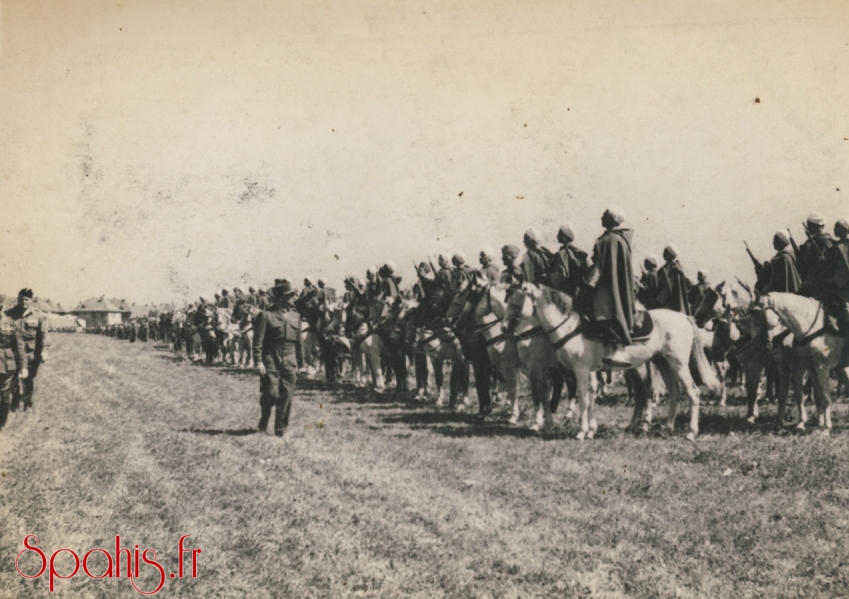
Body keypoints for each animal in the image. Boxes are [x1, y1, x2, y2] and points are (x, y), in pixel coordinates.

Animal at [512, 284, 720, 442]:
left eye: (517, 299)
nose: (512, 329)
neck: (571, 328)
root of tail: (685, 317)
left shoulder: (580, 370)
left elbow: (582, 398)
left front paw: (581, 432)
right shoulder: (589, 371)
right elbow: (590, 398)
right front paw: (591, 430)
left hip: (679, 365)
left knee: (692, 392)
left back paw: (691, 432)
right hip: (664, 364)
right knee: (674, 393)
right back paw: (666, 427)